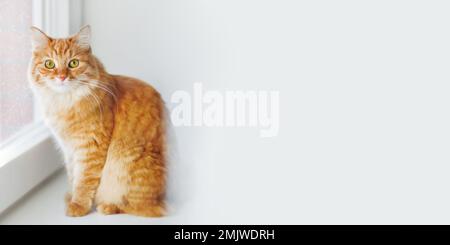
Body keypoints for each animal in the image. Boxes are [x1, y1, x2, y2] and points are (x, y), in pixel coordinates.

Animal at [29, 25, 167, 217]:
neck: (64, 103)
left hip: (125, 161)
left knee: (145, 208)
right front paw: (70, 197)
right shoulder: (69, 149)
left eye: (73, 63)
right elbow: (73, 176)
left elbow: (84, 181)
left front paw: (78, 206)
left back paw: (108, 206)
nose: (62, 77)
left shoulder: (90, 147)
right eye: (49, 64)